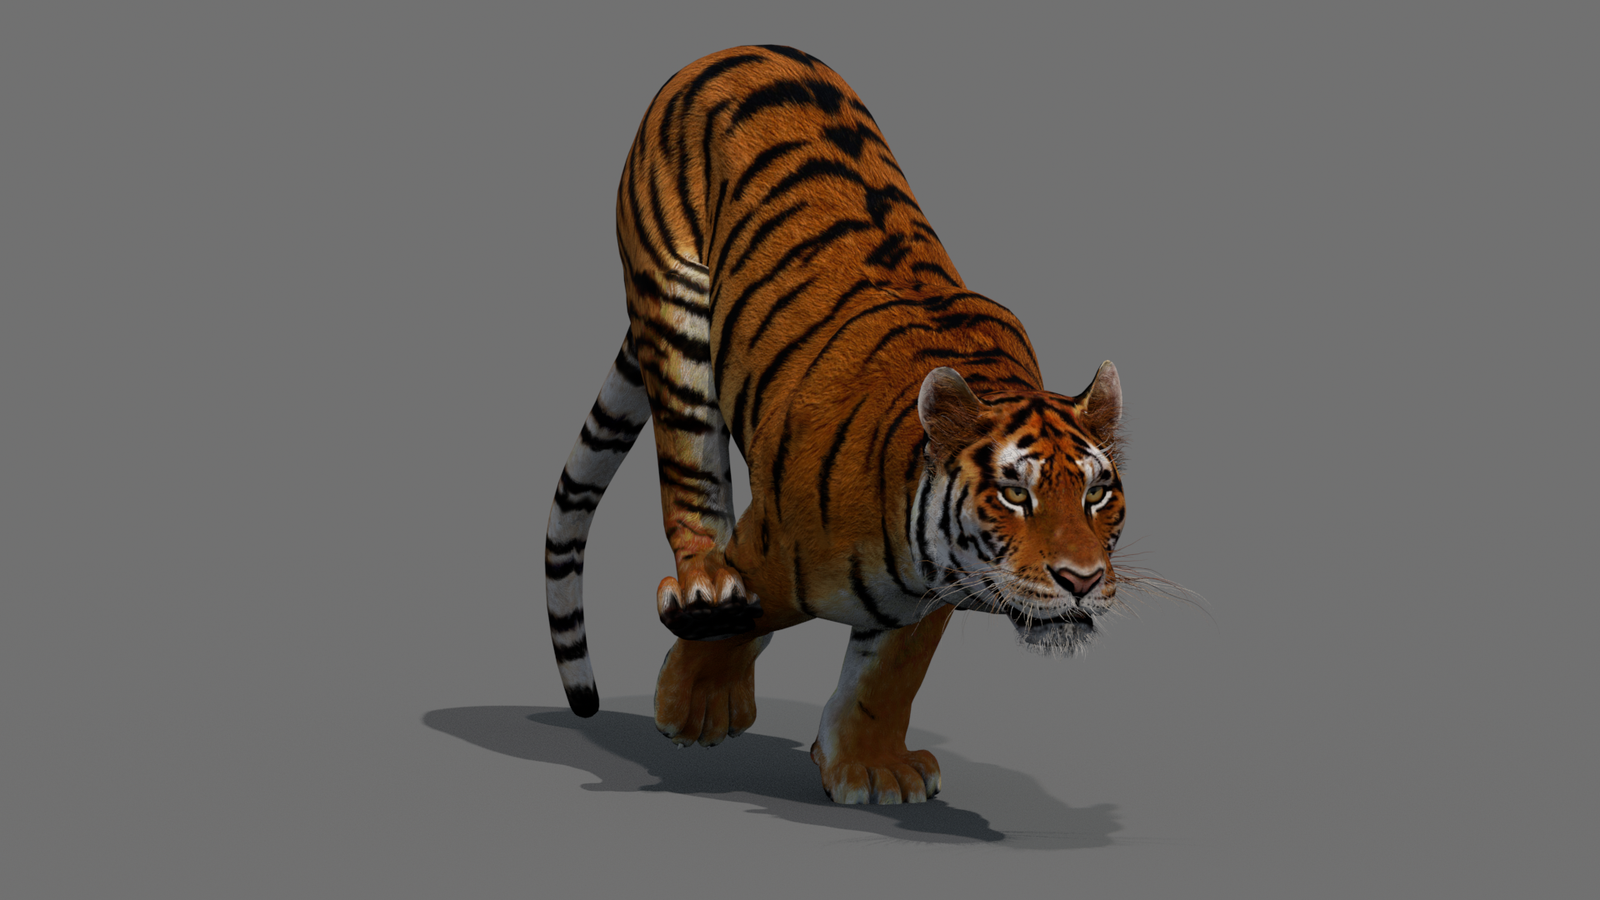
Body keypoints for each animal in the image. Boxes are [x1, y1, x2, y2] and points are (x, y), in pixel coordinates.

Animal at [544, 45, 1127, 805]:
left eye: (1097, 494)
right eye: (1013, 494)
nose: (1082, 580)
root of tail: (734, 48)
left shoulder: (925, 599)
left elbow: (888, 676)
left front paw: (873, 767)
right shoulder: (773, 544)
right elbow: (740, 619)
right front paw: (694, 704)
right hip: (676, 323)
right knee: (690, 481)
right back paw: (703, 580)